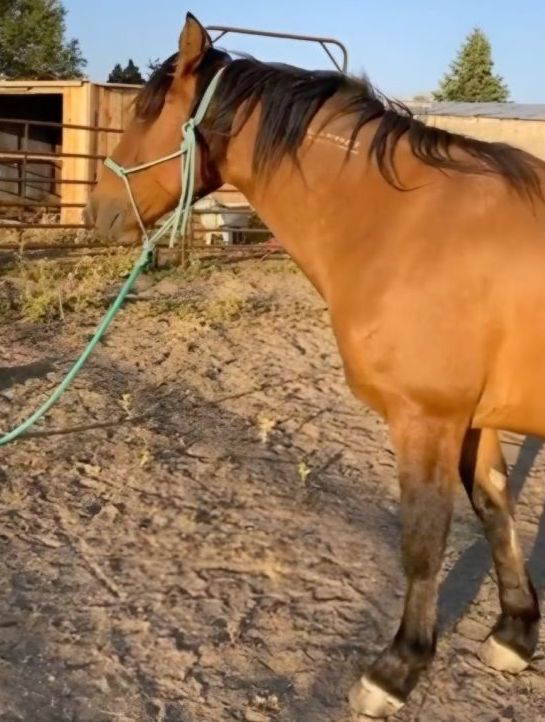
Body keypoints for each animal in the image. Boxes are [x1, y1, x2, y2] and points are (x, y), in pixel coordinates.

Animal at [87, 14, 540, 716]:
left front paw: (397, 670)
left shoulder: (427, 418)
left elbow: (423, 540)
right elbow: (494, 507)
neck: (410, 226)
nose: (97, 210)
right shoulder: (473, 419)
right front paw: (514, 634)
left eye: (143, 110)